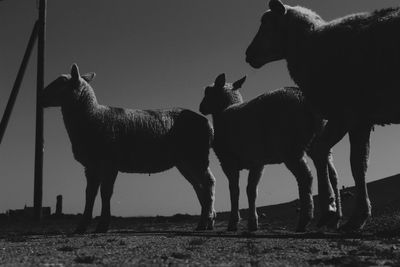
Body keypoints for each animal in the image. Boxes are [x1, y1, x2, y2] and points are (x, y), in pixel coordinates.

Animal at [41, 63, 216, 233]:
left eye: (61, 82)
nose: (41, 97)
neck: (92, 116)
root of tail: (208, 124)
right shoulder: (91, 166)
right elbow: (89, 195)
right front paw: (82, 226)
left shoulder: (109, 163)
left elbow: (105, 193)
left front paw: (103, 224)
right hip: (185, 162)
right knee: (198, 186)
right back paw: (208, 221)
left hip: (197, 156)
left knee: (208, 183)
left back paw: (204, 222)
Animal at [198, 73, 340, 232]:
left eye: (208, 91)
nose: (201, 108)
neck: (224, 110)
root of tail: (303, 96)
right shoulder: (257, 162)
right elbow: (251, 191)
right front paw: (253, 223)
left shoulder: (228, 161)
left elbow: (234, 191)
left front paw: (233, 222)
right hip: (318, 139)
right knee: (330, 171)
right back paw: (331, 214)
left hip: (291, 148)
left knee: (306, 177)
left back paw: (305, 219)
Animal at [244, 0, 400, 231]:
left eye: (268, 23)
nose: (248, 54)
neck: (312, 43)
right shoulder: (361, 119)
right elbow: (358, 164)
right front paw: (355, 215)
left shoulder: (344, 114)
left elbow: (325, 153)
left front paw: (332, 212)